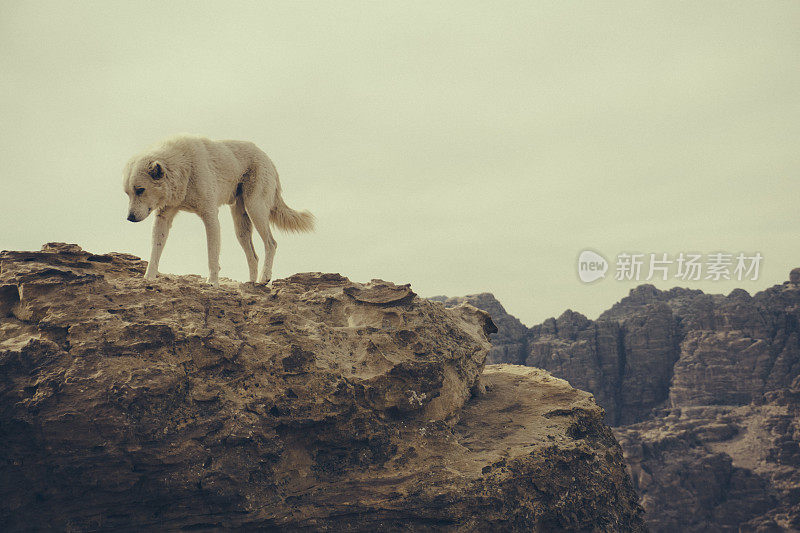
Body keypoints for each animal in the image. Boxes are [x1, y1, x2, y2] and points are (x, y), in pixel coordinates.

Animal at [123, 135, 314, 284]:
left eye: (140, 190)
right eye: (128, 193)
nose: (129, 218)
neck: (184, 167)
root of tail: (267, 157)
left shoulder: (210, 217)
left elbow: (212, 255)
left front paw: (212, 283)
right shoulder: (163, 218)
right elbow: (155, 252)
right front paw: (148, 278)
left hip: (255, 208)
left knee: (271, 244)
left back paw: (264, 278)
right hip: (241, 226)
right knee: (253, 256)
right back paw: (252, 284)